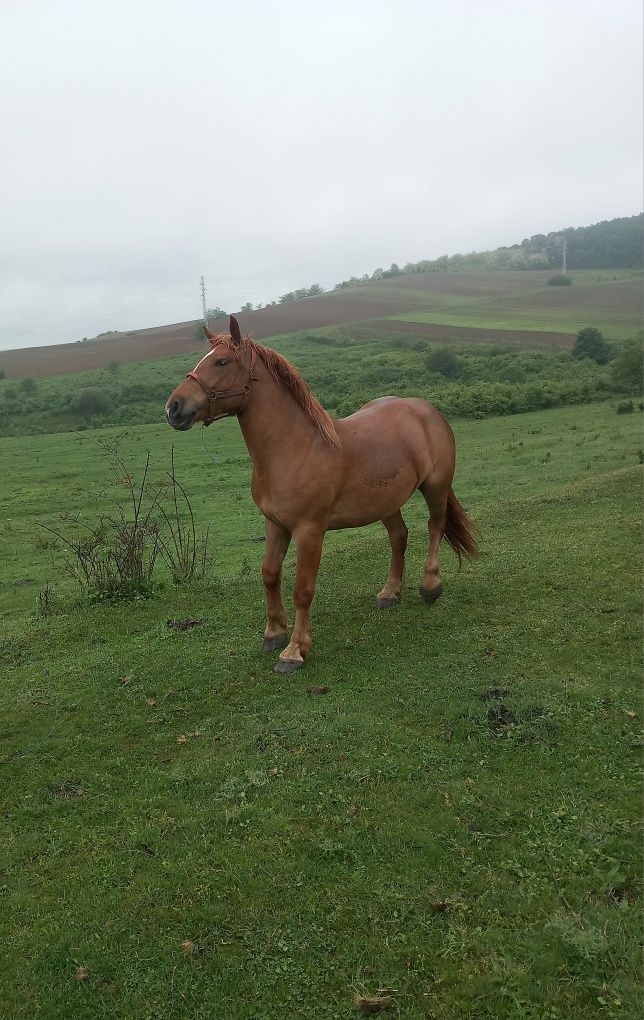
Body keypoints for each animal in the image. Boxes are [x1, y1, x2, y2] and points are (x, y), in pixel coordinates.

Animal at [166, 314, 479, 673]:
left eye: (221, 362)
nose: (173, 407)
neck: (293, 449)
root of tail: (427, 409)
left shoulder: (309, 531)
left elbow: (303, 589)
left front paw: (294, 651)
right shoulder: (275, 524)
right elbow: (269, 575)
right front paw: (273, 633)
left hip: (435, 487)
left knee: (435, 527)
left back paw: (430, 586)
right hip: (386, 502)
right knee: (399, 537)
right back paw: (389, 593)